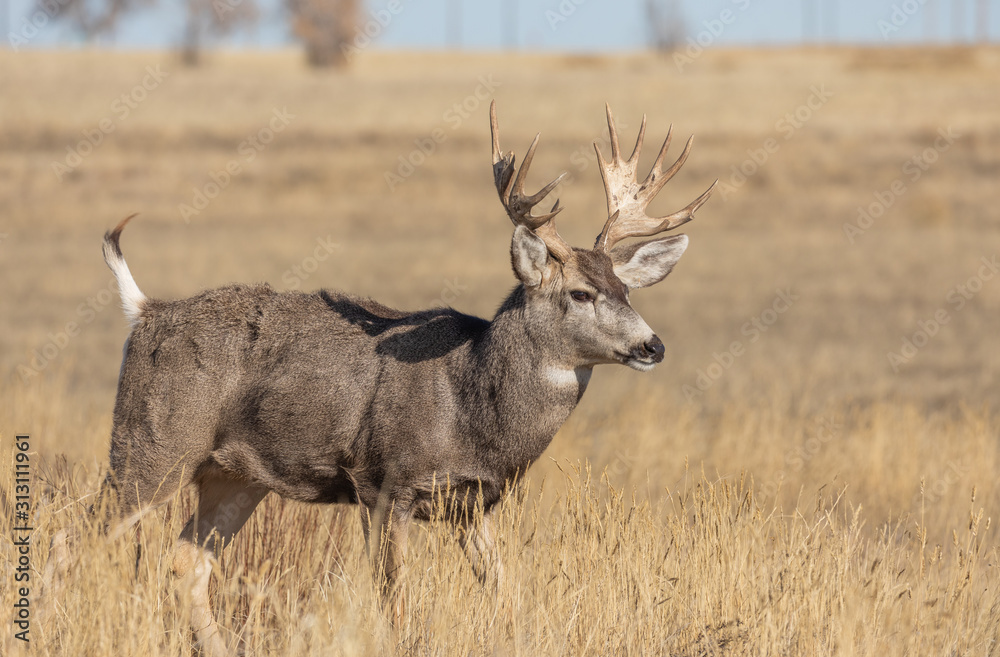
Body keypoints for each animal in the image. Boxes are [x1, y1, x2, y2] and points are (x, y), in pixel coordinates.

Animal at [69, 101, 715, 655]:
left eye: (625, 289)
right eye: (581, 292)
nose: (652, 346)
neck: (471, 404)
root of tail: (146, 313)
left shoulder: (473, 504)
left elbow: (505, 595)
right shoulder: (384, 484)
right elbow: (396, 605)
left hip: (231, 474)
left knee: (187, 562)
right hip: (150, 445)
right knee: (84, 540)